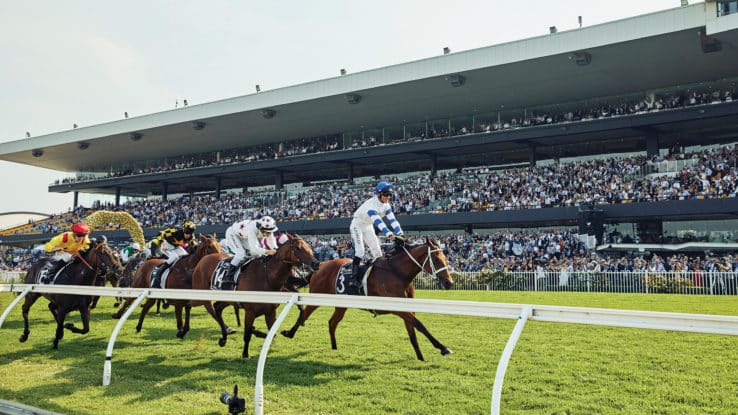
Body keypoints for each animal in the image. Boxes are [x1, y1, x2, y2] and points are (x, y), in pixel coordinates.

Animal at [188, 232, 318, 360]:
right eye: (298, 248)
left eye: (309, 246)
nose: (316, 263)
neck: (267, 276)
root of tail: (203, 260)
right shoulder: (250, 311)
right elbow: (247, 334)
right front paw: (245, 354)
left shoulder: (270, 311)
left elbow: (272, 333)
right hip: (201, 293)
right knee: (203, 306)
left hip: (227, 299)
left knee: (217, 308)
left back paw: (224, 337)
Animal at [282, 239, 454, 362]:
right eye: (437, 260)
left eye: (446, 258)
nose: (449, 283)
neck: (397, 273)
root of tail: (321, 265)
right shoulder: (397, 308)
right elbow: (420, 325)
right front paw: (443, 347)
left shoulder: (406, 307)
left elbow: (412, 332)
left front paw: (420, 357)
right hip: (317, 296)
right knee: (305, 315)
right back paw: (289, 333)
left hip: (341, 304)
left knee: (332, 322)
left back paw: (334, 347)